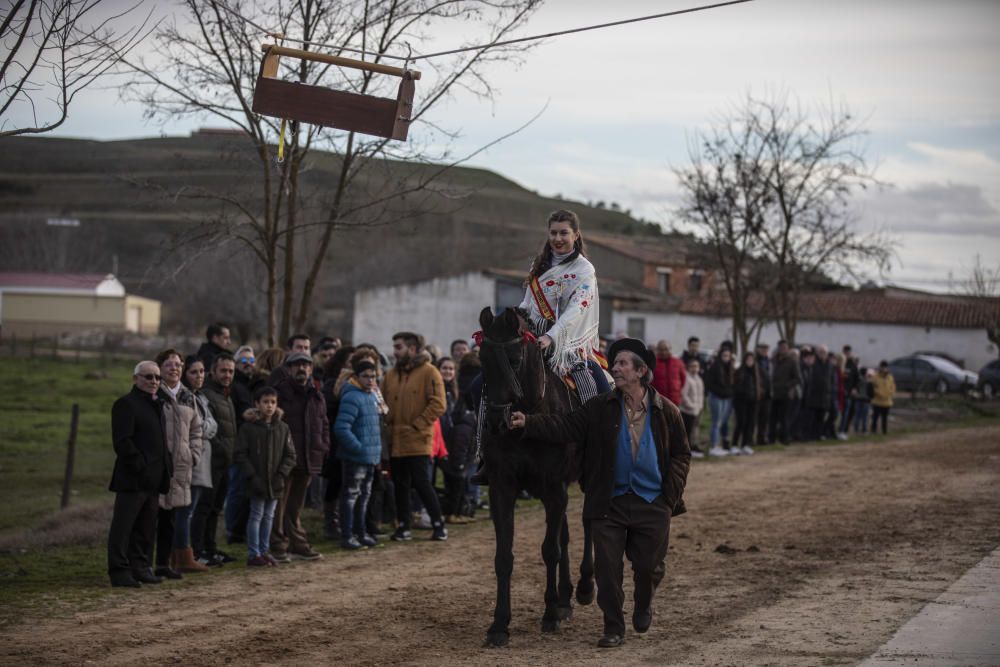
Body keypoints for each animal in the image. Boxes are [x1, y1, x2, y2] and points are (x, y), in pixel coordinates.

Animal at [476, 306, 592, 648]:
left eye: (515, 360)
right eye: (482, 360)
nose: (497, 422)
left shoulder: (554, 488)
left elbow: (550, 550)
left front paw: (550, 613)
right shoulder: (503, 487)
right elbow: (504, 556)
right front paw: (499, 625)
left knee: (589, 524)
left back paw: (584, 588)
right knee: (566, 534)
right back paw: (566, 598)